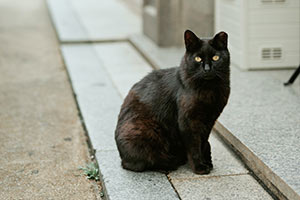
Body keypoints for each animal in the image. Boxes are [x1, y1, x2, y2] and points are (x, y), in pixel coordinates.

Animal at [114, 30, 230, 175]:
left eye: (215, 57)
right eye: (198, 59)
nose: (207, 69)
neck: (209, 90)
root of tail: (121, 156)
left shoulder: (209, 120)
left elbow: (203, 142)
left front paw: (206, 162)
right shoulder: (188, 121)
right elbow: (194, 146)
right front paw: (199, 167)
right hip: (144, 129)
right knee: (140, 163)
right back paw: (171, 163)